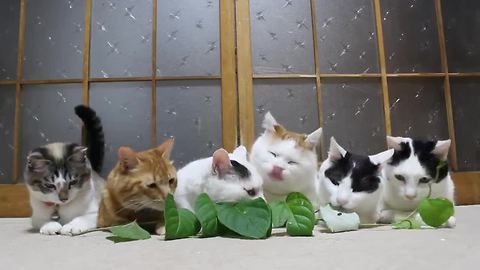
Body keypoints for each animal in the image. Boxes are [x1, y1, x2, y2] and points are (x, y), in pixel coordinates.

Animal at [24, 104, 105, 235]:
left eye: (73, 182)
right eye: (50, 185)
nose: (63, 199)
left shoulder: (96, 212)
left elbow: (81, 217)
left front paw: (70, 227)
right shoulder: (36, 216)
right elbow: (43, 220)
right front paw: (50, 226)